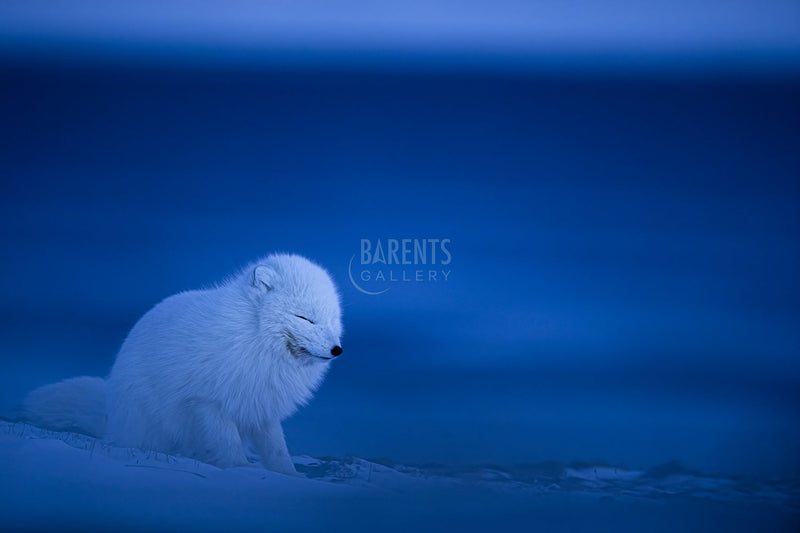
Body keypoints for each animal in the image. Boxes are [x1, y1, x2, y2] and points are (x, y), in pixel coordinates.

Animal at [21, 254, 343, 475]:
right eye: (305, 318)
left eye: (331, 320)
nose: (337, 349)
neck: (254, 339)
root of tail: (110, 410)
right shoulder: (207, 401)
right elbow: (227, 441)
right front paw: (240, 469)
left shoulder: (260, 407)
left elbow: (277, 449)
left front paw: (290, 475)